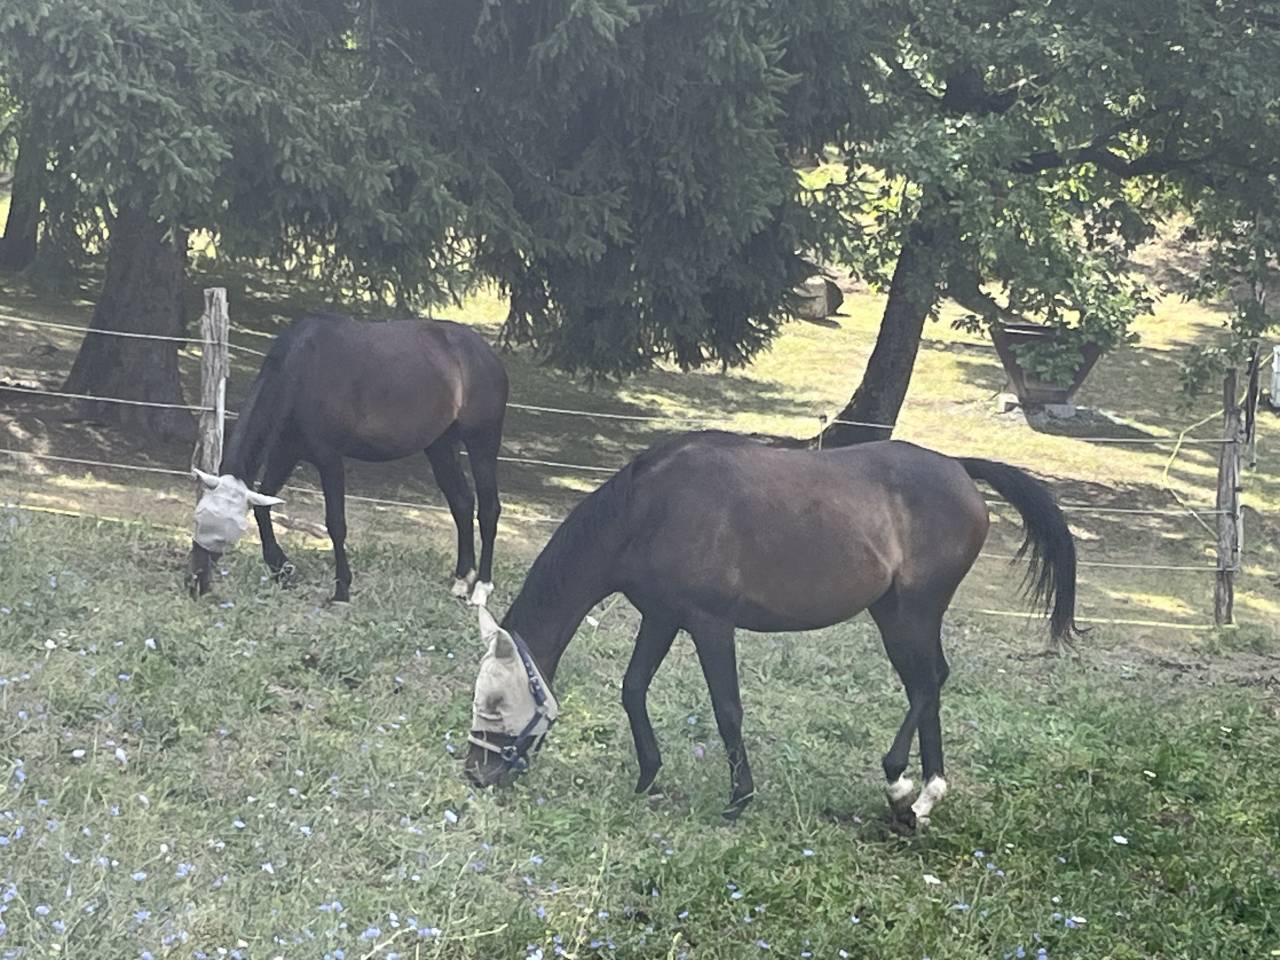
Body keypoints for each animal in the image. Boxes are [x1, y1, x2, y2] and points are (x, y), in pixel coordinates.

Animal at [188, 313, 508, 605]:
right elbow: (263, 507)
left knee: (488, 509)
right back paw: (462, 581)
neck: (303, 368)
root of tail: (485, 353)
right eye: (198, 517)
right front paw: (283, 569)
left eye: (223, 531)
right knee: (462, 504)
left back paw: (481, 588)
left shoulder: (329, 460)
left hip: (482, 444)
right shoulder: (286, 453)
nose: (195, 582)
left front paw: (341, 590)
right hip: (440, 447)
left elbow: (335, 524)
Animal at [463, 430, 1078, 830]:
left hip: (913, 611)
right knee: (928, 683)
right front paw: (648, 777)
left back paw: (903, 783)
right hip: (897, 613)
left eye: (496, 702)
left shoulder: (710, 624)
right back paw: (923, 797)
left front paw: (739, 798)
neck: (649, 508)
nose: (475, 775)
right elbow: (633, 689)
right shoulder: (662, 617)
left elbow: (727, 709)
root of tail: (957, 466)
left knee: (928, 683)